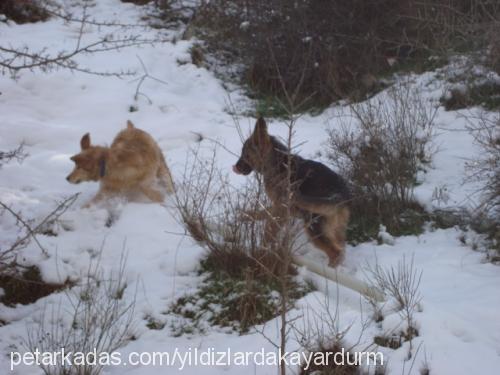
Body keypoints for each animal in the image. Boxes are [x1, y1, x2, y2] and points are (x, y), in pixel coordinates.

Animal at [232, 117, 350, 268]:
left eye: (245, 154)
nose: (236, 167)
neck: (275, 162)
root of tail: (340, 193)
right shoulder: (279, 206)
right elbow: (263, 213)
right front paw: (246, 216)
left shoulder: (281, 208)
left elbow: (269, 229)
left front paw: (262, 250)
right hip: (336, 228)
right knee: (341, 249)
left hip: (313, 227)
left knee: (335, 252)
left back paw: (328, 271)